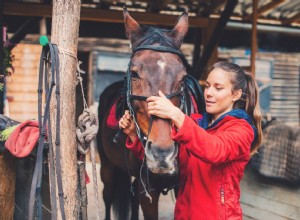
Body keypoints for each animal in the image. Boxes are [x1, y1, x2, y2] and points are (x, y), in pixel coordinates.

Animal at [97, 8, 205, 220]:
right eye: (134, 73)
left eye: (183, 77)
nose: (162, 154)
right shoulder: (147, 190)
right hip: (107, 167)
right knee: (107, 196)